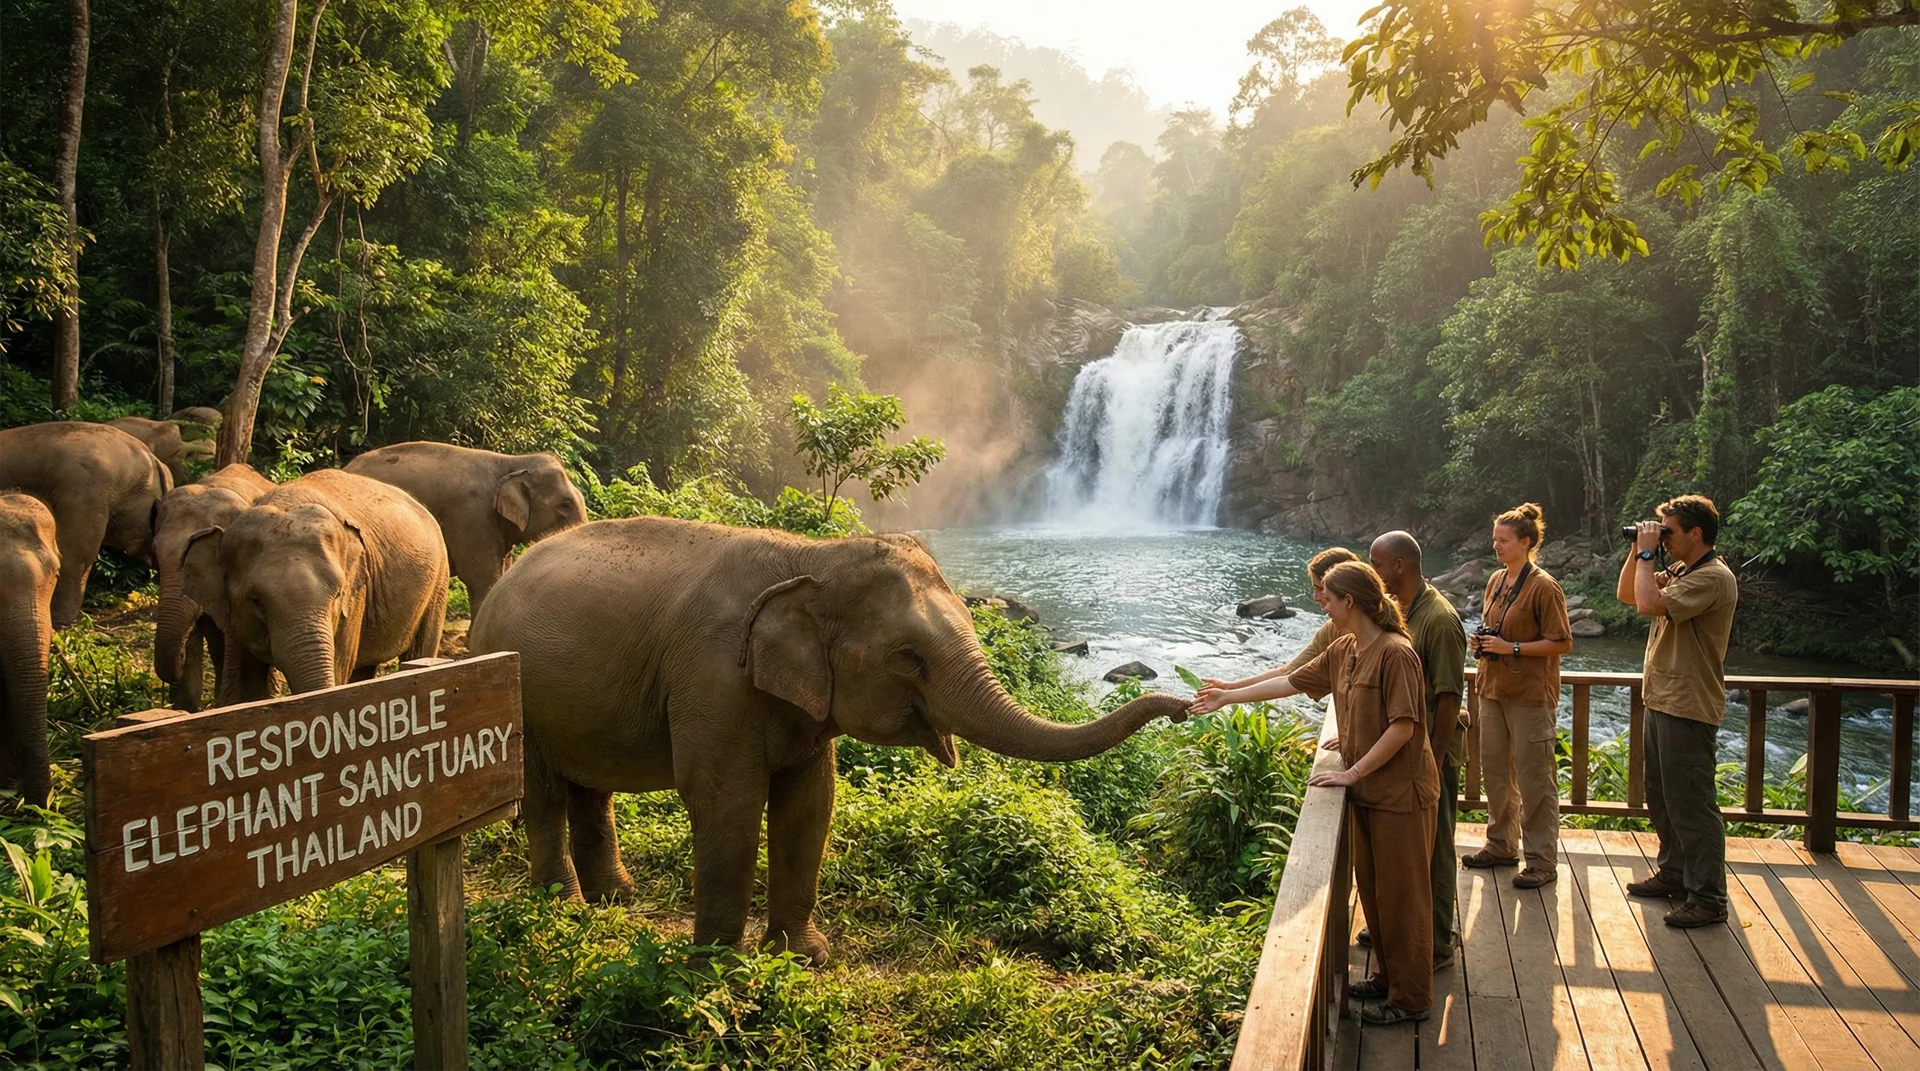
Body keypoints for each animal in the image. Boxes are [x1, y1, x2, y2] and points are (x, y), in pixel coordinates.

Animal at [180, 469, 448, 703]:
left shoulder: (355, 597)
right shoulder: (234, 617)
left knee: (419, 649)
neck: (285, 504)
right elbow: (243, 690)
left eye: (338, 594)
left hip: (438, 582)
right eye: (255, 600)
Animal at [469, 517, 1190, 965]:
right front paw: (717, 968)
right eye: (909, 658)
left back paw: (618, 898)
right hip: (515, 687)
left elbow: (810, 803)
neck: (814, 556)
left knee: (591, 788)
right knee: (542, 792)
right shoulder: (712, 676)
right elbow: (727, 802)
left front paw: (806, 956)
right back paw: (564, 907)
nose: (1184, 707)